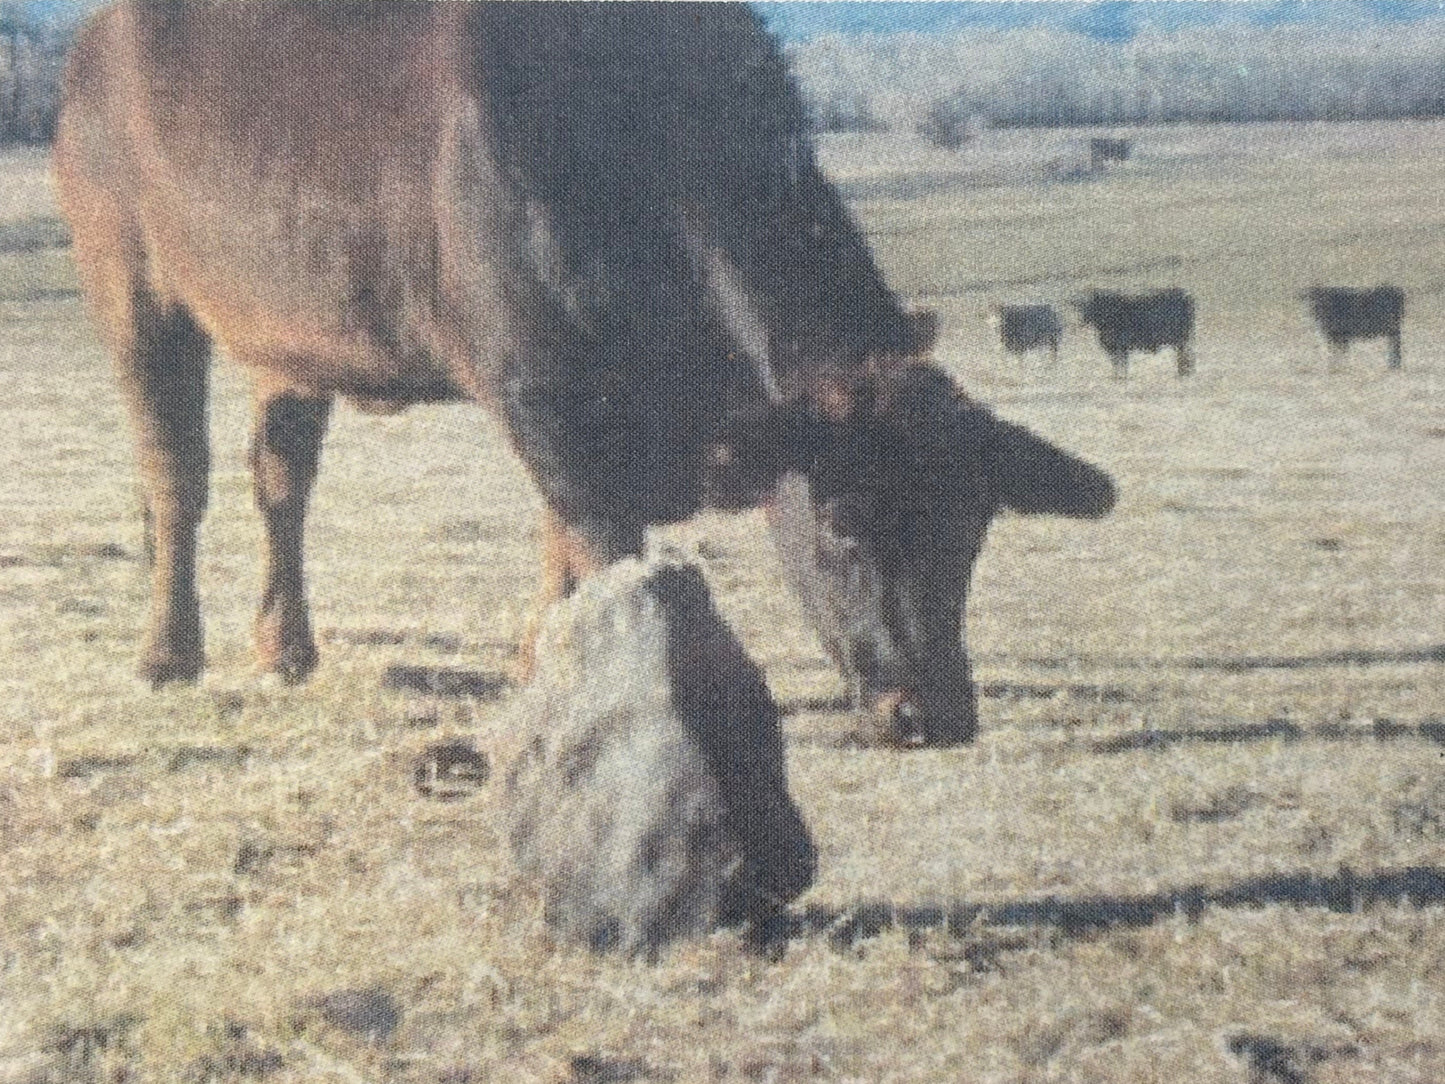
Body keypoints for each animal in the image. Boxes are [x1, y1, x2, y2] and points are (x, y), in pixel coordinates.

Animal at [55, 2, 1115, 747]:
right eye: (845, 523)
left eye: (973, 529)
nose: (931, 713)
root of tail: (100, 37)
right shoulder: (545, 398)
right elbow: (604, 554)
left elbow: (561, 550)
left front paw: (545, 670)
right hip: (132, 290)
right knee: (175, 476)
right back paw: (167, 653)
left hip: (289, 336)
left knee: (281, 479)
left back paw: (286, 647)